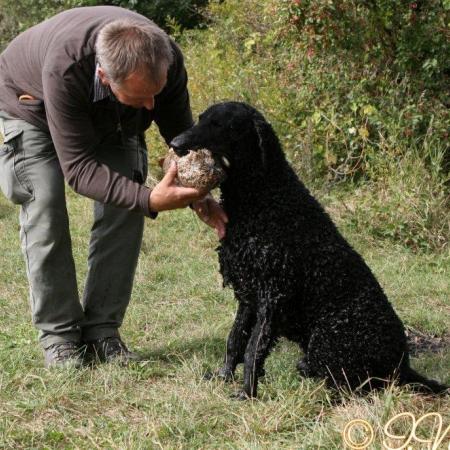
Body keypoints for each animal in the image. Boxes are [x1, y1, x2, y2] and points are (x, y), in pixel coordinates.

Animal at [171, 102, 448, 398]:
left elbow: (253, 349)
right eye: (201, 118)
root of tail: (404, 364)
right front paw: (224, 376)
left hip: (328, 339)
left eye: (219, 124)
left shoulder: (273, 297)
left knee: (352, 385)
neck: (263, 196)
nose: (175, 144)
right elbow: (235, 339)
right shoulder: (248, 296)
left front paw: (247, 393)